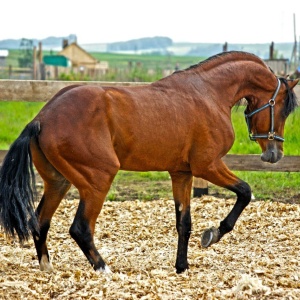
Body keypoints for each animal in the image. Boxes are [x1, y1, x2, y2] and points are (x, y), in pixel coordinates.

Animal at [0, 51, 298, 274]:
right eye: (283, 107)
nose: (274, 154)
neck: (209, 94)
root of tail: (42, 118)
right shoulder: (208, 166)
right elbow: (245, 192)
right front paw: (212, 235)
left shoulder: (181, 173)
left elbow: (184, 222)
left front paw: (182, 266)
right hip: (97, 179)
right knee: (80, 228)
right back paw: (104, 269)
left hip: (58, 181)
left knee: (40, 221)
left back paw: (47, 267)